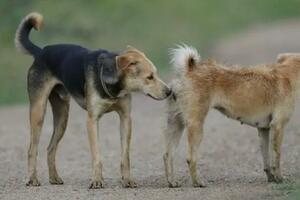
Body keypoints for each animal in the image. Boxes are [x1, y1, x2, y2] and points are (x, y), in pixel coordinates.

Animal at [15, 12, 171, 189]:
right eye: (149, 77)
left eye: (156, 74)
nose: (169, 91)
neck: (114, 85)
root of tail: (41, 52)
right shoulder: (92, 120)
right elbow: (97, 155)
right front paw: (96, 180)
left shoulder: (125, 118)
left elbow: (125, 156)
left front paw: (127, 180)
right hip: (38, 112)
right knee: (32, 149)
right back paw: (32, 179)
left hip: (62, 117)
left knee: (50, 148)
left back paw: (54, 178)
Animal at [164, 44, 300, 188]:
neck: (288, 73)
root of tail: (190, 69)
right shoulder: (278, 126)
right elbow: (277, 157)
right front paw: (279, 178)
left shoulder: (264, 129)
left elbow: (266, 159)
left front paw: (271, 178)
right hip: (196, 126)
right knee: (191, 158)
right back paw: (198, 182)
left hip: (175, 125)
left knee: (167, 155)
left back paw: (172, 182)